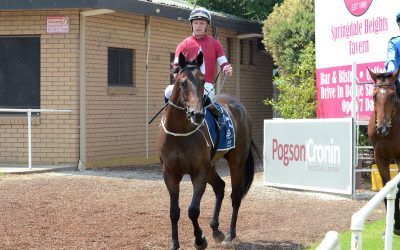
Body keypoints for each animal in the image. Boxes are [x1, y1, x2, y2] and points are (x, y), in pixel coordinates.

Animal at [158, 51, 258, 249]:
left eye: (202, 81)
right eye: (182, 82)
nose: (197, 114)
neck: (180, 132)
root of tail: (239, 107)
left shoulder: (199, 171)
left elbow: (193, 210)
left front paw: (199, 239)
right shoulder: (170, 172)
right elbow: (174, 211)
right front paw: (174, 242)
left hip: (236, 162)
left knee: (235, 196)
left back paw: (229, 233)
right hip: (211, 166)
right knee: (220, 187)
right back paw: (216, 230)